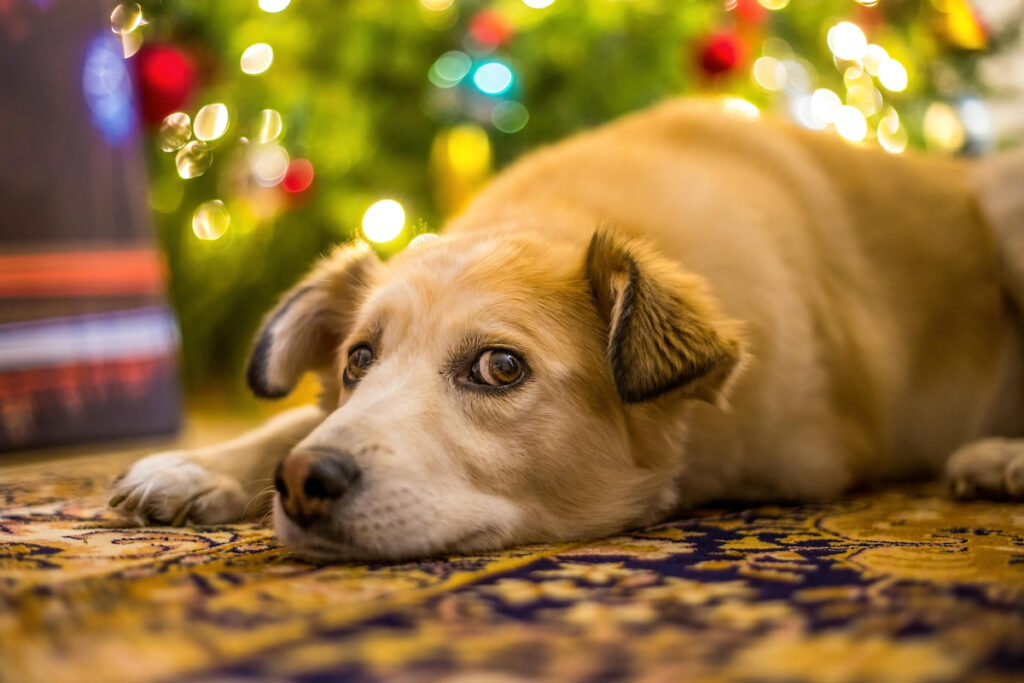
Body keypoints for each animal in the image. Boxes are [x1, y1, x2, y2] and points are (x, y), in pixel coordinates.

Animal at [108, 100, 1024, 561]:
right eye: (358, 360)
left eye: (501, 368)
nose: (301, 484)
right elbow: (299, 417)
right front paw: (196, 466)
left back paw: (999, 457)